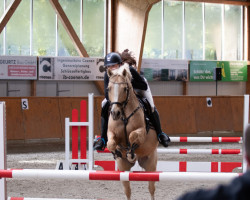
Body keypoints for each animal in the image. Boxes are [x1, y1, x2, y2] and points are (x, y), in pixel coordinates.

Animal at [106, 64, 158, 200]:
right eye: (109, 88)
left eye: (125, 89)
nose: (115, 113)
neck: (124, 116)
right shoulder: (111, 133)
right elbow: (111, 143)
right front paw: (117, 152)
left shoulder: (142, 133)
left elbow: (132, 135)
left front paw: (131, 152)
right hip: (123, 168)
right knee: (127, 190)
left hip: (150, 164)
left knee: (151, 188)